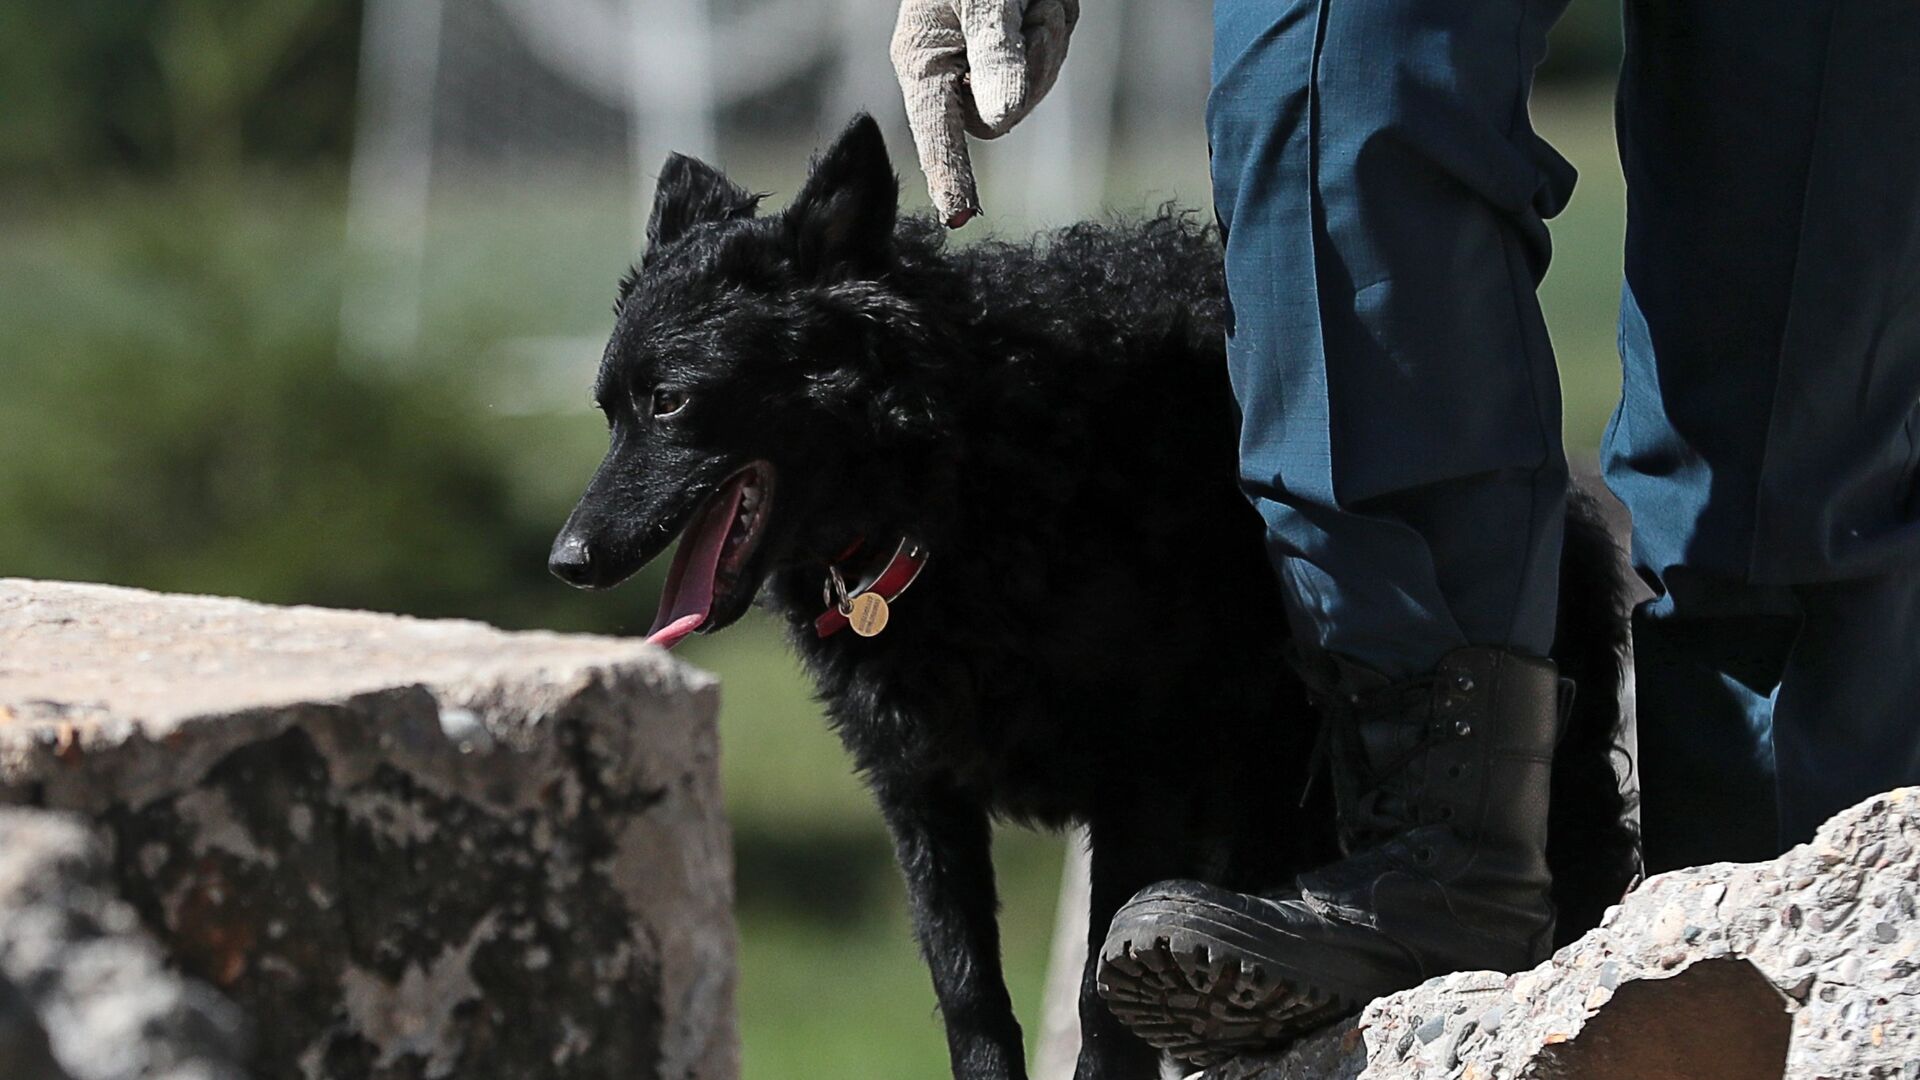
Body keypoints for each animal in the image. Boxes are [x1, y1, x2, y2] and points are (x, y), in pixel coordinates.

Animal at [552, 117, 1635, 1076]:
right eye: (606, 411)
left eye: (672, 403)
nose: (567, 560)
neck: (953, 478)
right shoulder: (918, 790)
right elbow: (967, 991)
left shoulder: (1144, 779)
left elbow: (1098, 995)